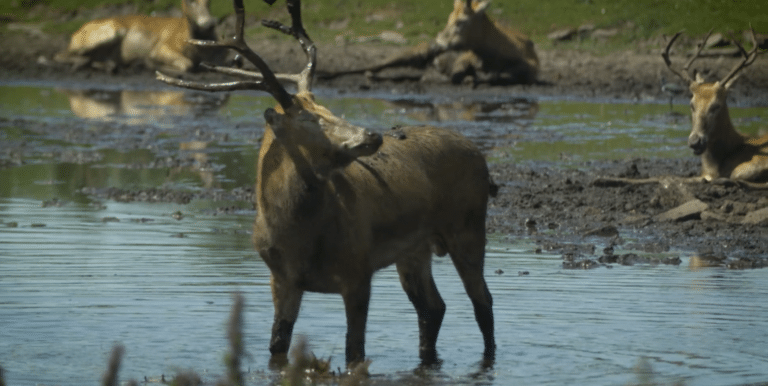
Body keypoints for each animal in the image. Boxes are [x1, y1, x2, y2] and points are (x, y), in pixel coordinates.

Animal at [53, 0, 222, 73]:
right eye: (190, 1)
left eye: (209, 1)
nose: (209, 23)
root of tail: (75, 33)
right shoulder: (161, 47)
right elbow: (186, 64)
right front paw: (147, 63)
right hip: (111, 32)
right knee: (60, 54)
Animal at [157, 0, 498, 366]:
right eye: (309, 119)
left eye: (329, 109)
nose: (371, 135)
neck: (298, 237)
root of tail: (479, 156)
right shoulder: (282, 278)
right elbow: (277, 346)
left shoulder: (358, 270)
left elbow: (354, 352)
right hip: (414, 250)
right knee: (434, 307)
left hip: (468, 226)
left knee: (483, 301)